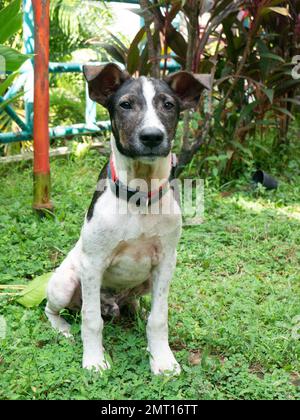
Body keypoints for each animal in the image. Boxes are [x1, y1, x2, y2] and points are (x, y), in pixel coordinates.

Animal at [45, 64, 210, 376]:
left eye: (168, 105)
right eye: (125, 105)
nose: (152, 136)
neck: (140, 194)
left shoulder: (167, 260)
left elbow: (159, 318)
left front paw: (163, 360)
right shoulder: (93, 263)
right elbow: (90, 320)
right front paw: (94, 361)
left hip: (145, 282)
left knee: (137, 305)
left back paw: (136, 312)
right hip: (64, 283)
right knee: (55, 309)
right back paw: (63, 329)